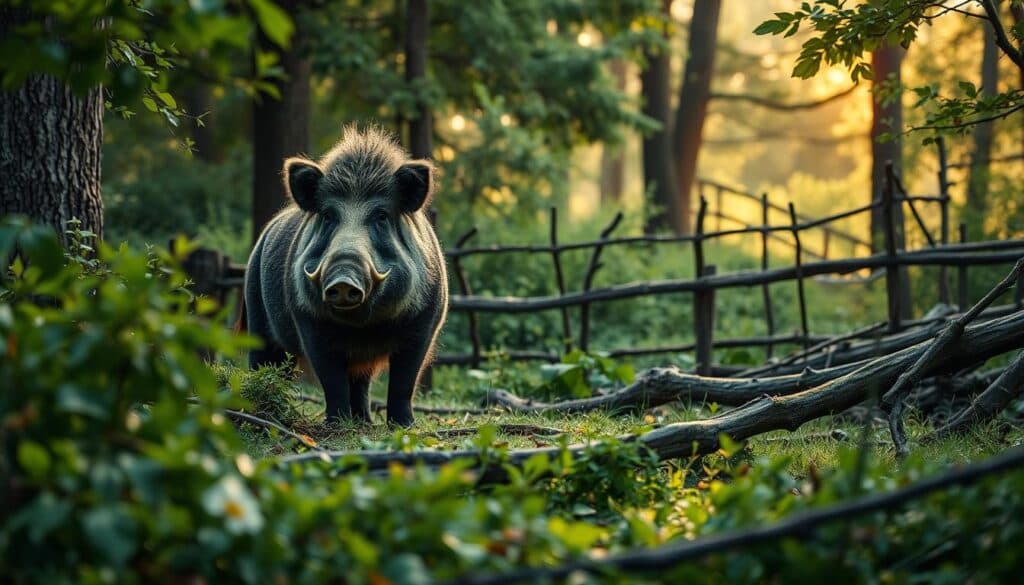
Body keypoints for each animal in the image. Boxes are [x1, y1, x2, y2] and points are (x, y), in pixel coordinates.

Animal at [244, 126, 448, 426]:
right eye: (328, 215)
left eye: (381, 216)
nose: (343, 279)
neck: (361, 328)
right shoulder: (308, 320)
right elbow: (331, 380)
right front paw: (336, 425)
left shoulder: (425, 323)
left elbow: (404, 380)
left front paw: (404, 425)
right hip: (255, 312)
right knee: (264, 360)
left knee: (360, 382)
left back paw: (364, 422)